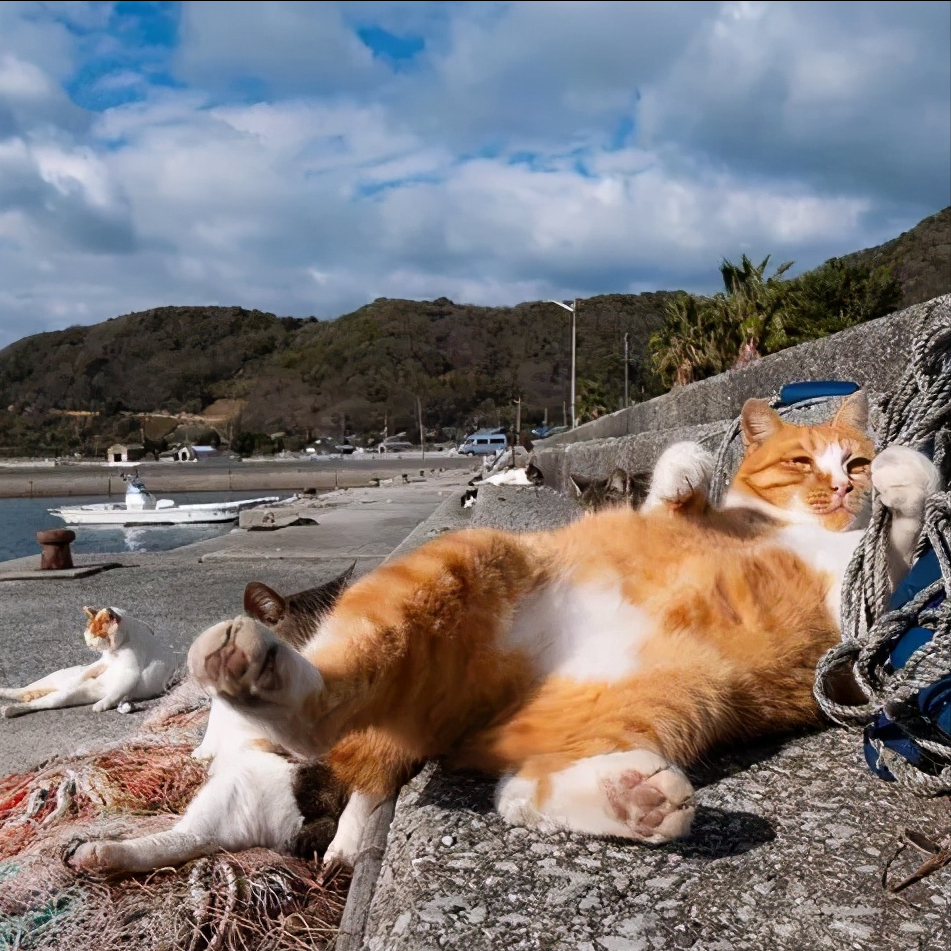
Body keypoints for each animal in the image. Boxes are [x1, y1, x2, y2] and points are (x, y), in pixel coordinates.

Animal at [0, 608, 176, 716]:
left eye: (97, 634)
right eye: (88, 631)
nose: (88, 643)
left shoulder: (130, 673)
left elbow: (116, 693)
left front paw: (101, 705)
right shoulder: (103, 662)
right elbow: (87, 671)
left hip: (62, 697)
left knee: (35, 702)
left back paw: (8, 709)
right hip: (52, 679)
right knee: (22, 690)